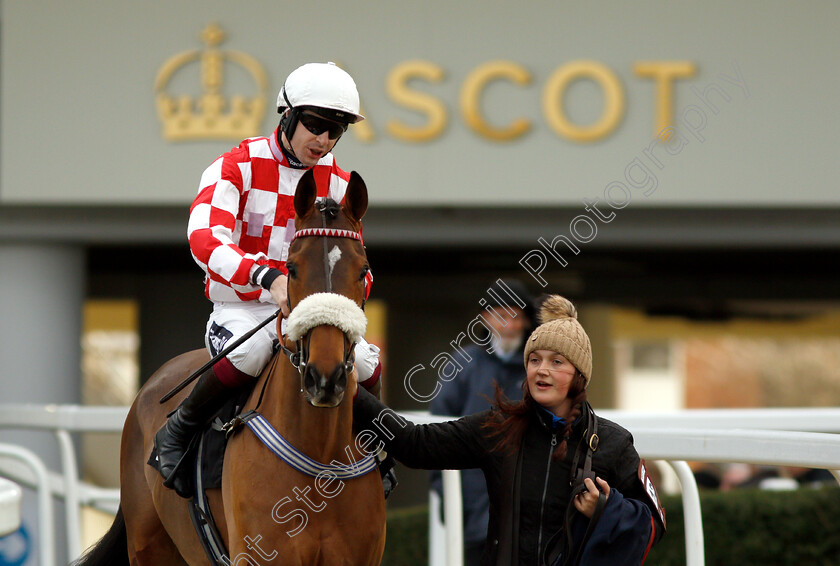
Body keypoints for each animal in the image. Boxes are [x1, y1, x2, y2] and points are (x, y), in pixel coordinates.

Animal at [74, 171, 386, 566]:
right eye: (292, 269)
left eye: (363, 271)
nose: (324, 378)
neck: (320, 451)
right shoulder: (262, 552)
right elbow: (209, 231)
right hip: (149, 546)